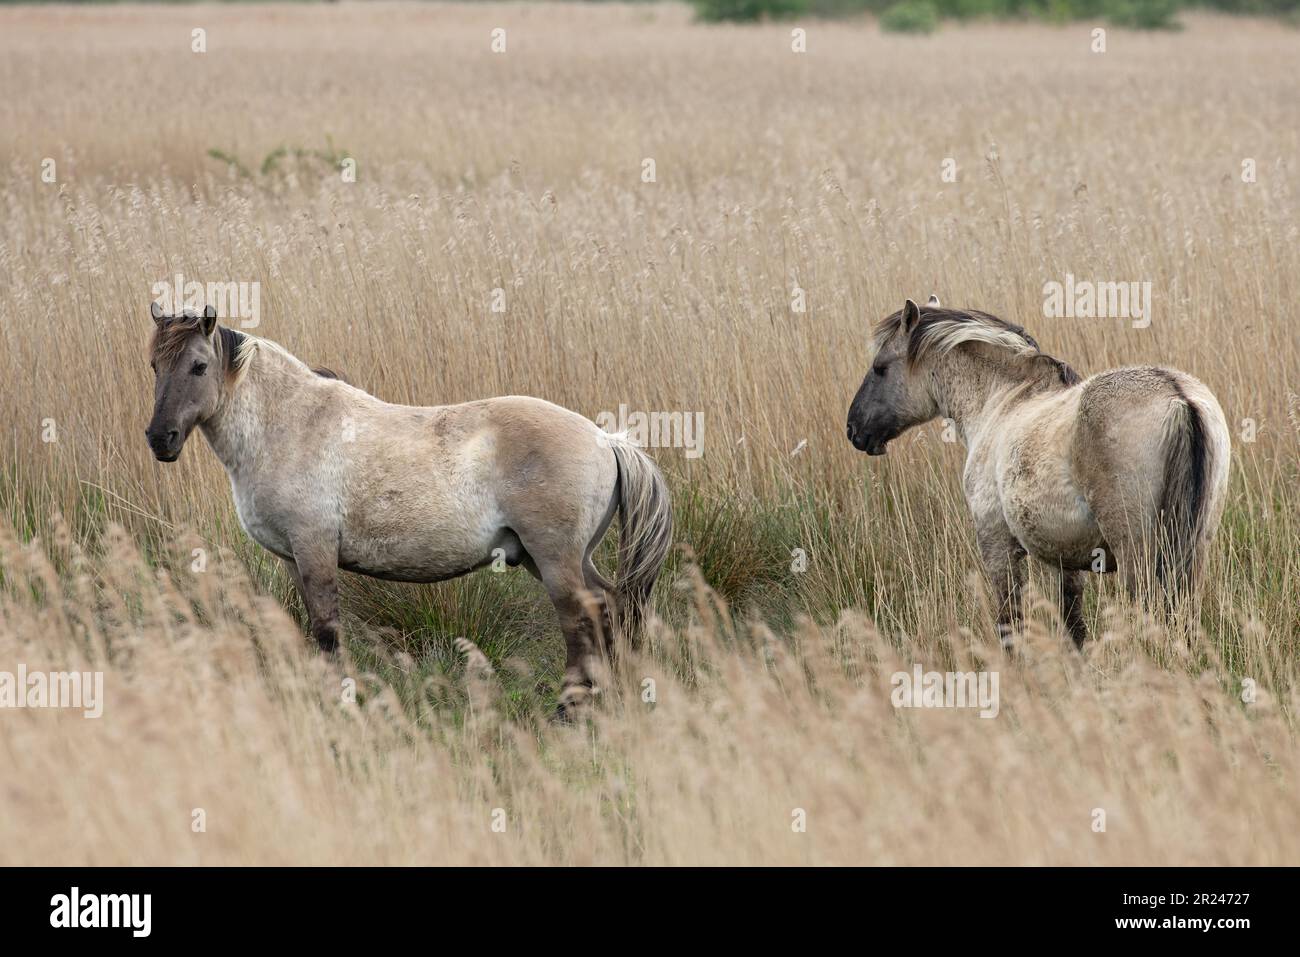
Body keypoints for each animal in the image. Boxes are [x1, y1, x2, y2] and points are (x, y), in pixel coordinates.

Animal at [144, 302, 670, 712]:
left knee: (580, 621)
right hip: (558, 559)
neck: (290, 426)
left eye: (198, 366)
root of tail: (606, 439)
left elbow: (327, 630)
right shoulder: (294, 558)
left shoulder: (315, 551)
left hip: (556, 560)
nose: (159, 439)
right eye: (154, 366)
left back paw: (568, 709)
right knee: (607, 607)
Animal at [847, 295, 1232, 647]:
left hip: (1138, 555)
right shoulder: (1069, 562)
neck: (1002, 401)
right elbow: (1074, 627)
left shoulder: (997, 546)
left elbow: (1010, 626)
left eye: (880, 367)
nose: (854, 429)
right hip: (1194, 550)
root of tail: (1178, 396)